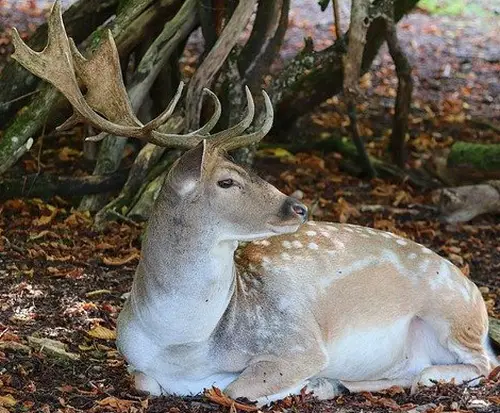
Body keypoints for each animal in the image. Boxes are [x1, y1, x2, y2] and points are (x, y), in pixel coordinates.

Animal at [10, 1, 496, 404]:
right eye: (227, 181)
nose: (298, 208)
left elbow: (239, 388)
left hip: (452, 313)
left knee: (479, 364)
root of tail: (477, 296)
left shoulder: (298, 341)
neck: (184, 345)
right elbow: (147, 381)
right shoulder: (136, 363)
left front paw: (306, 383)